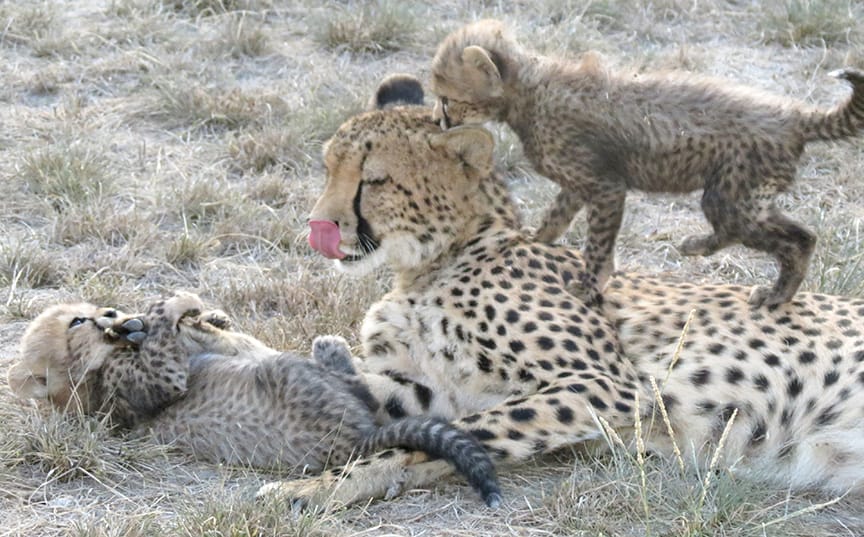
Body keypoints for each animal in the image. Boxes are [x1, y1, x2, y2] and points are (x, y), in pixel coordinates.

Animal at [262, 76, 864, 506]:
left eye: (375, 180)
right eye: (328, 167)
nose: (319, 225)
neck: (435, 261)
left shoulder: (610, 386)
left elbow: (449, 432)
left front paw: (318, 485)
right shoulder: (429, 386)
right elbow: (394, 412)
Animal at [430, 19, 864, 306]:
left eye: (447, 99)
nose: (437, 121)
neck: (528, 89)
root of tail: (793, 115)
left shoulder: (606, 187)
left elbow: (597, 244)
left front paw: (590, 284)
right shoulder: (580, 183)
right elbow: (556, 216)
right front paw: (536, 239)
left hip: (732, 195)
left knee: (790, 237)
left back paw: (771, 294)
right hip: (741, 197)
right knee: (772, 231)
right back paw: (712, 254)